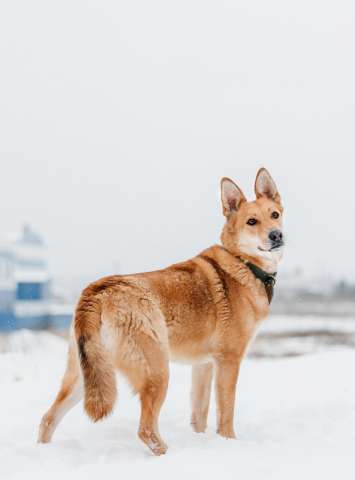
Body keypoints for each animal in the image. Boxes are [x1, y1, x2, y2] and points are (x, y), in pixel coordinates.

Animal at [38, 170, 284, 458]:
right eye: (252, 221)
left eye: (274, 214)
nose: (277, 235)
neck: (243, 263)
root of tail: (97, 292)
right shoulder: (228, 361)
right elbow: (225, 415)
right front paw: (228, 444)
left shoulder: (203, 365)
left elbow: (199, 416)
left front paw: (202, 441)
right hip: (157, 371)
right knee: (145, 430)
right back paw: (167, 454)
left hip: (87, 376)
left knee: (48, 418)